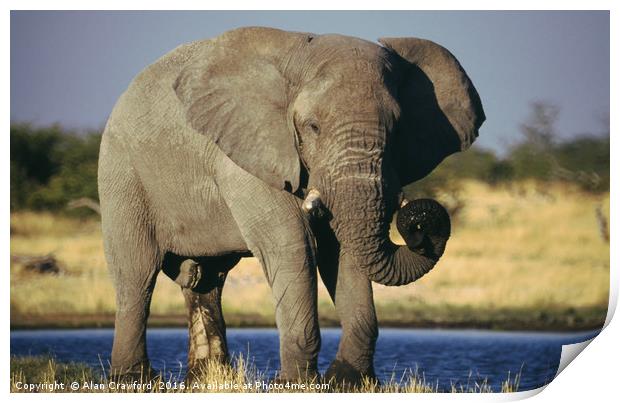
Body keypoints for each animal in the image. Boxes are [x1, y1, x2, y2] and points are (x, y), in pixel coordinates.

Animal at [98, 25, 484, 386]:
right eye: (313, 126)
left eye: (398, 129)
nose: (418, 223)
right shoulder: (248, 151)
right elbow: (293, 245)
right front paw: (295, 384)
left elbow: (343, 252)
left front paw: (348, 381)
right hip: (123, 174)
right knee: (137, 274)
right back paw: (132, 380)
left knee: (206, 280)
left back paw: (209, 379)